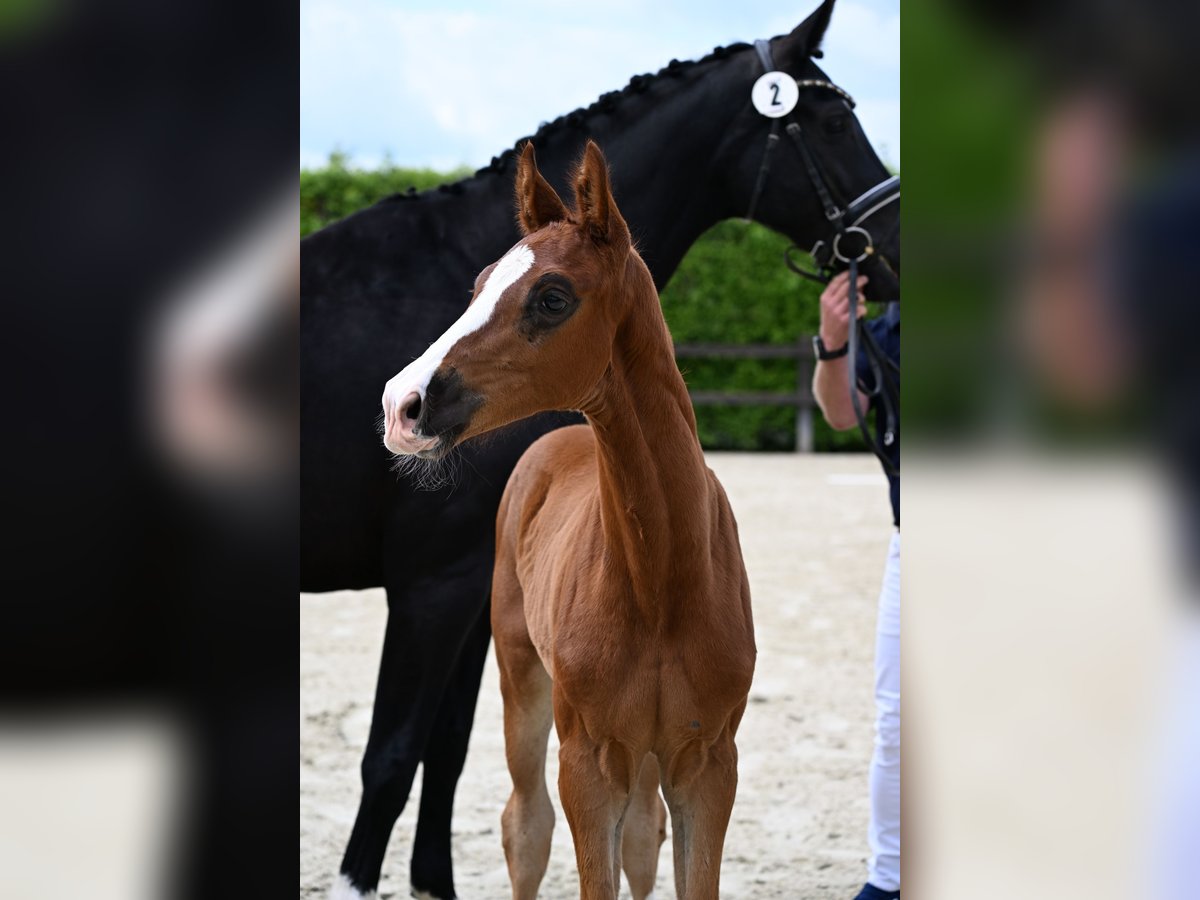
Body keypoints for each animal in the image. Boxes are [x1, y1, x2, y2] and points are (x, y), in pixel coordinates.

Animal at [379, 142, 753, 900]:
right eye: (479, 284)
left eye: (552, 298)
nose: (400, 404)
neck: (663, 582)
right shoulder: (588, 760)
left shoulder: (709, 763)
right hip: (522, 678)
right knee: (526, 826)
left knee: (641, 836)